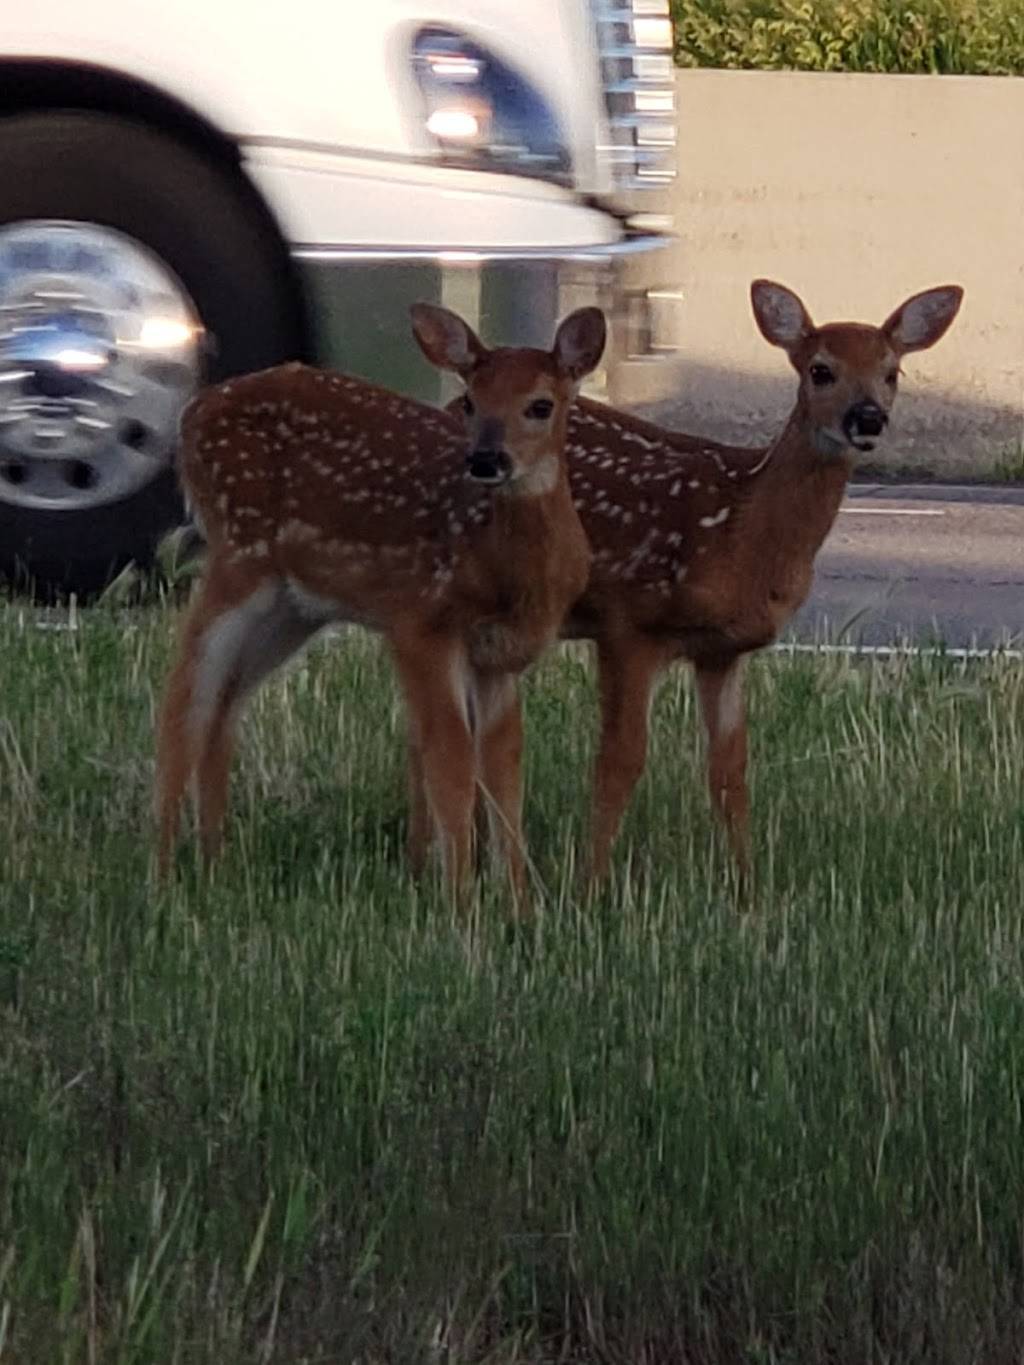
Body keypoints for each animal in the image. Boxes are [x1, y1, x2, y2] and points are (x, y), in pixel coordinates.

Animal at [153, 303, 606, 900]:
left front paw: (518, 902)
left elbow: (504, 763)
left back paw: (213, 862)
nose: (487, 458)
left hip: (293, 605)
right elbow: (451, 755)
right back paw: (160, 870)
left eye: (540, 405)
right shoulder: (421, 621)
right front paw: (461, 901)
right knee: (185, 691)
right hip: (240, 553)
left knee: (225, 698)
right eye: (470, 401)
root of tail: (190, 415)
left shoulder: (497, 657)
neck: (502, 568)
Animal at [447, 274, 961, 884]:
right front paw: (591, 885)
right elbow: (620, 761)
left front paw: (748, 888)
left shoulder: (723, 650)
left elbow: (729, 771)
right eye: (821, 370)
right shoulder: (630, 622)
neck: (740, 529)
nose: (868, 418)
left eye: (892, 372)